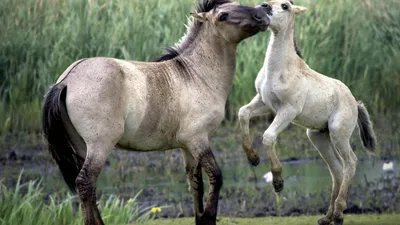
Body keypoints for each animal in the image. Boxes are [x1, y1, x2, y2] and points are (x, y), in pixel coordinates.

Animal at [42, 0, 268, 225]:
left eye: (239, 3)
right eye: (223, 16)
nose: (262, 14)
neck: (196, 75)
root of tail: (66, 81)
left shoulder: (187, 147)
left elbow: (196, 185)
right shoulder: (198, 140)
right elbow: (216, 177)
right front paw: (208, 218)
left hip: (82, 147)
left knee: (88, 188)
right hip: (99, 145)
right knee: (85, 183)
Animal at [238, 0, 376, 224]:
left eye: (285, 6)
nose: (263, 7)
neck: (279, 70)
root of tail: (355, 103)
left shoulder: (288, 110)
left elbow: (268, 136)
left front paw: (278, 181)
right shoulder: (264, 102)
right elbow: (243, 113)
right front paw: (253, 158)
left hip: (338, 133)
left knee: (350, 163)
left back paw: (339, 213)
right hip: (318, 137)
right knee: (337, 169)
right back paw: (327, 217)